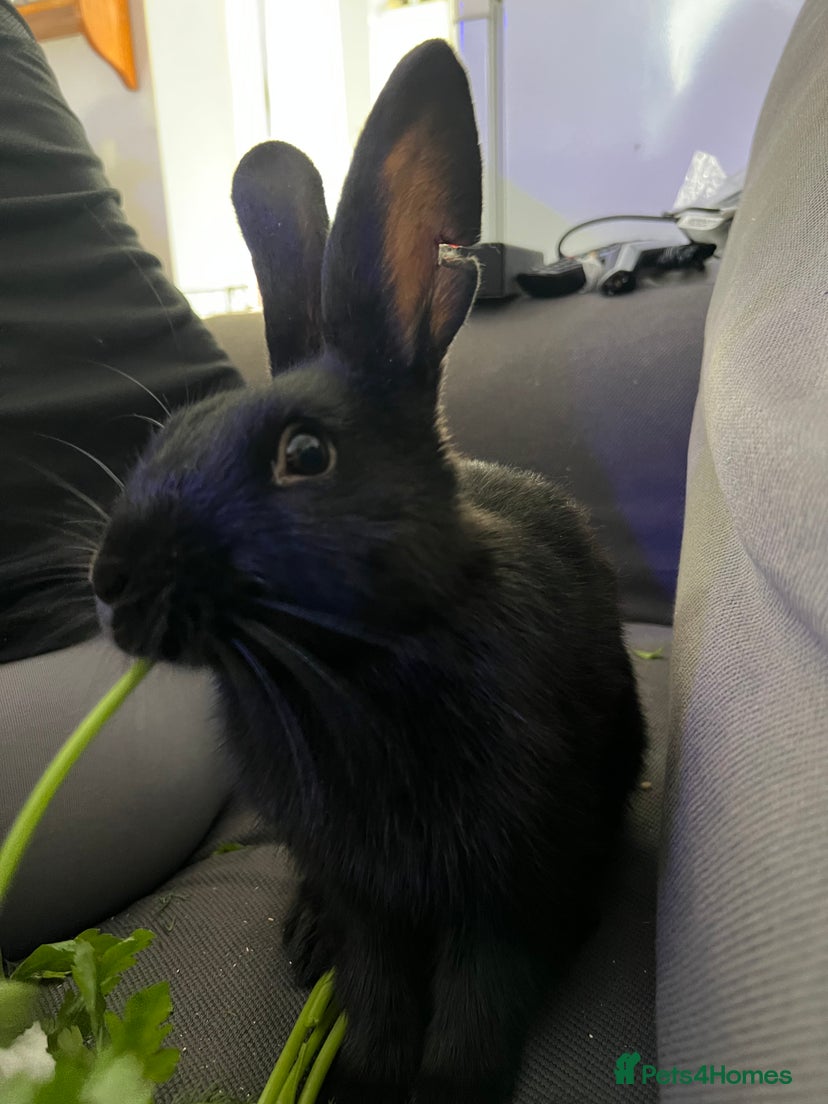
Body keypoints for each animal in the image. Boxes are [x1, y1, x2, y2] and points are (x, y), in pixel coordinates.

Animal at [91, 39, 646, 1104]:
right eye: (169, 435)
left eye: (306, 455)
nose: (111, 581)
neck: (355, 668)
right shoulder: (366, 897)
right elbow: (379, 990)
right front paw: (365, 1080)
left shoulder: (504, 883)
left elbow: (476, 1000)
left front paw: (451, 1090)